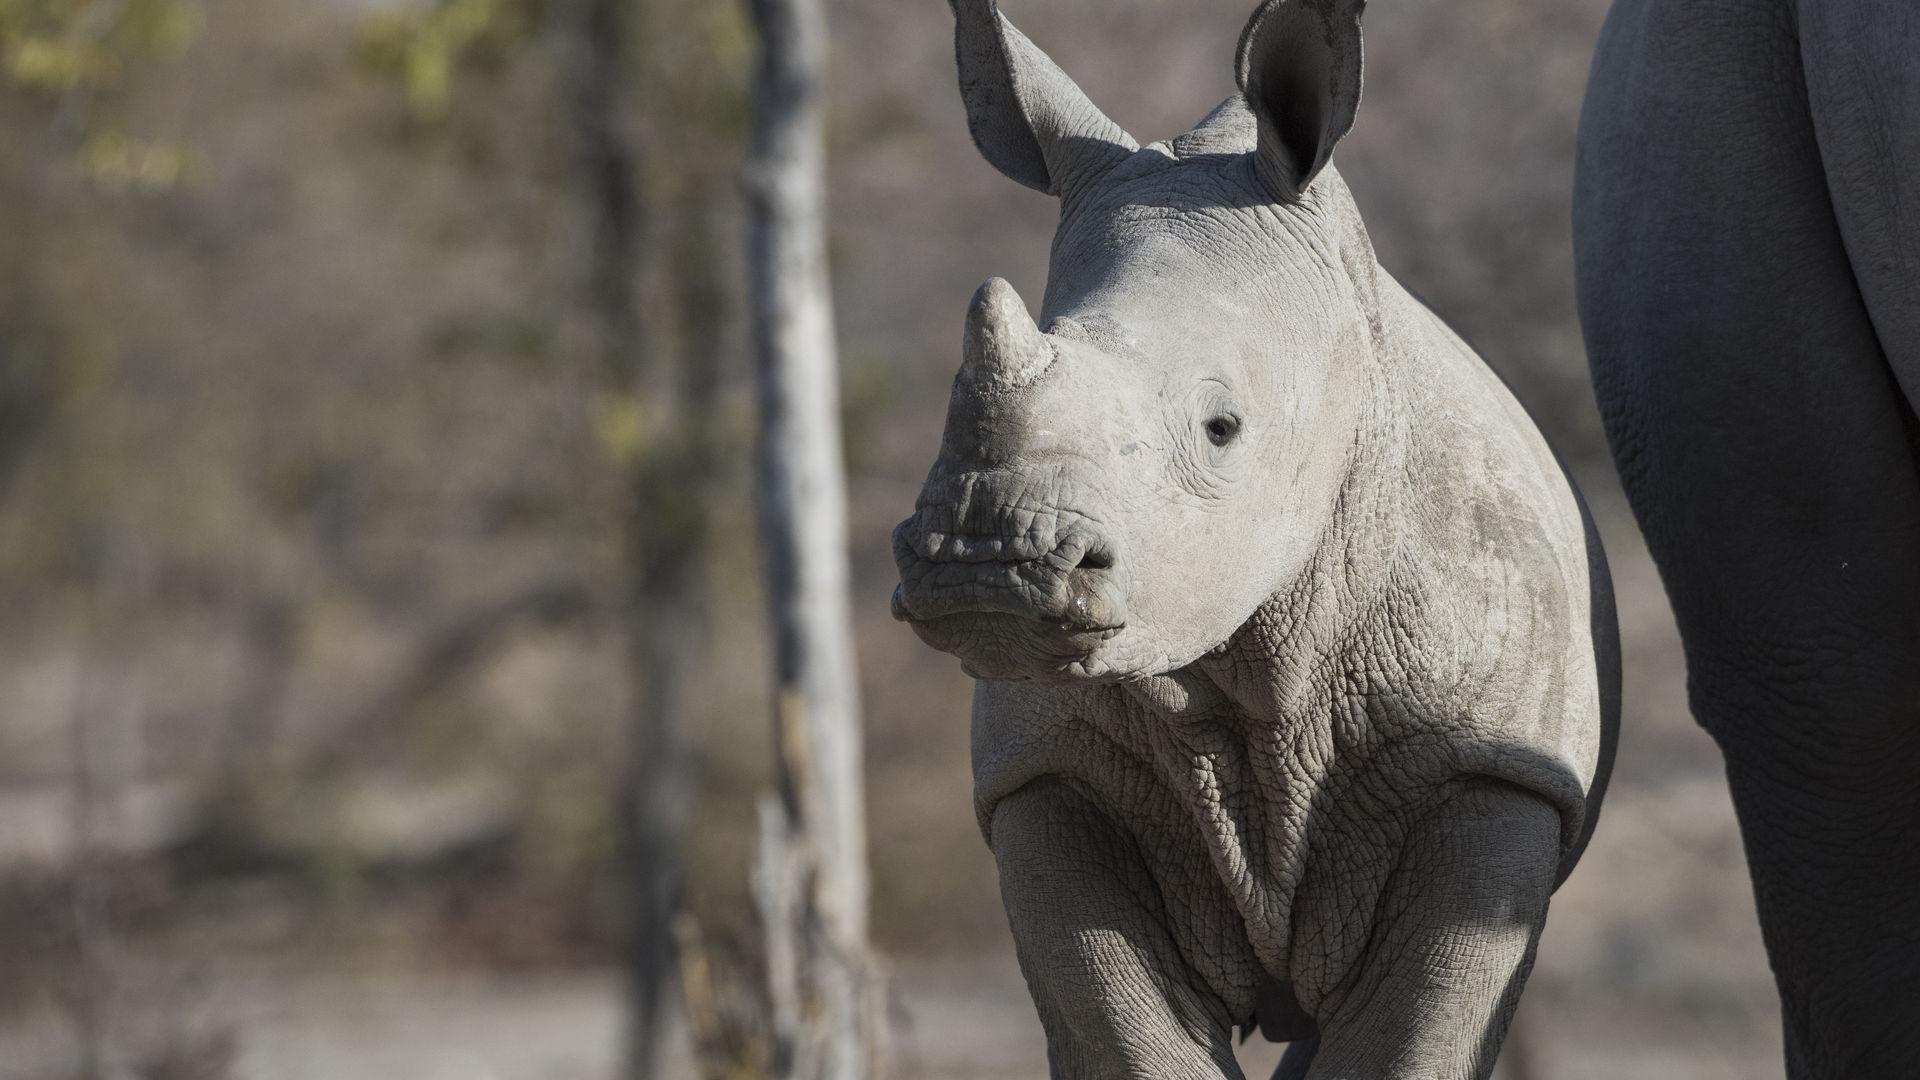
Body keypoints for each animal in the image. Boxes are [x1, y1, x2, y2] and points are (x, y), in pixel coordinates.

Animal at [890, 2, 1612, 1076]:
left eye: (1222, 429)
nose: (986, 563)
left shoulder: (1490, 765)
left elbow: (1409, 1039)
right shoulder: (1049, 771)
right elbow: (1129, 1036)